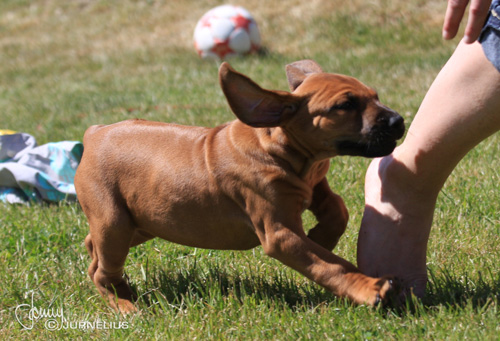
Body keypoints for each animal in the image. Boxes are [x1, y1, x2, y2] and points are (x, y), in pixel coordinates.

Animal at [77, 59, 406, 312]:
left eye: (375, 96)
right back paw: (125, 305)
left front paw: (322, 235)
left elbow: (337, 207)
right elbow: (330, 265)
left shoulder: (313, 184)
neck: (276, 148)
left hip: (145, 222)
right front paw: (370, 288)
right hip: (115, 224)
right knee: (103, 272)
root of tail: (94, 133)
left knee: (93, 250)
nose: (398, 121)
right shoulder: (280, 234)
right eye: (345, 105)